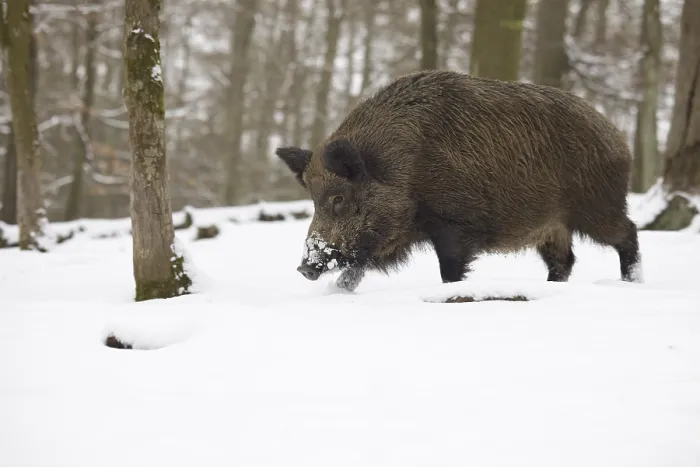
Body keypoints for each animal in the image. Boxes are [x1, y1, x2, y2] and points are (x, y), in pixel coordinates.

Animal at [275, 70, 642, 292]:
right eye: (313, 200)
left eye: (338, 199)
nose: (304, 268)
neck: (403, 170)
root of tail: (618, 138)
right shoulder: (385, 239)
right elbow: (354, 271)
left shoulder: (455, 224)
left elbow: (449, 271)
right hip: (551, 226)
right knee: (565, 260)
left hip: (596, 205)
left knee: (628, 233)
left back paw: (632, 283)